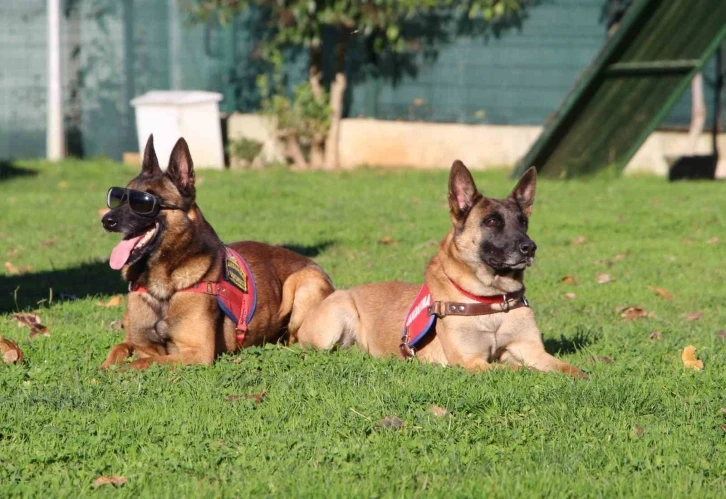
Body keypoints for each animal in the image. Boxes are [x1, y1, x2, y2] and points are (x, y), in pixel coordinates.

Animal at [99, 135, 332, 370]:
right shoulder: (138, 342)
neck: (160, 286)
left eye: (144, 203)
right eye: (119, 198)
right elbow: (118, 350)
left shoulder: (196, 353)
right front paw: (103, 368)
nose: (107, 220)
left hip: (303, 283)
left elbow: (138, 363)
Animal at [298, 161, 588, 378]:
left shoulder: (531, 350)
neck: (493, 301)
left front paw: (583, 376)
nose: (530, 248)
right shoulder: (472, 361)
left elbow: (566, 368)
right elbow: (522, 370)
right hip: (337, 319)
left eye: (523, 222)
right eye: (492, 221)